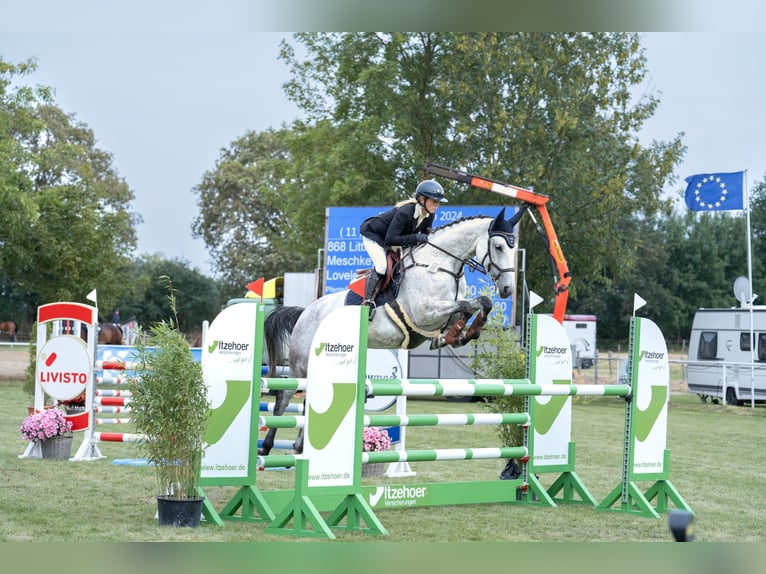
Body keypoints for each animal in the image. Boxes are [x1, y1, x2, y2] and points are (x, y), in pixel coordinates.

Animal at [260, 209, 524, 456]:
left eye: (513, 249)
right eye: (498, 246)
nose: (507, 289)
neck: (440, 265)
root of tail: (306, 311)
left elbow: (478, 304)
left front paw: (461, 334)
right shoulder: (425, 313)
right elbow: (468, 305)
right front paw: (462, 331)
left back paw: (299, 446)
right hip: (301, 363)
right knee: (284, 397)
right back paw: (266, 447)